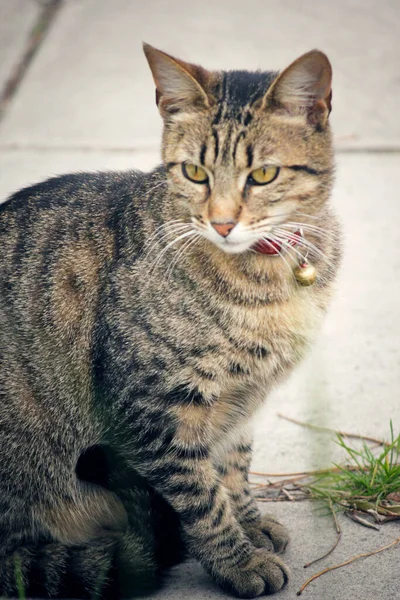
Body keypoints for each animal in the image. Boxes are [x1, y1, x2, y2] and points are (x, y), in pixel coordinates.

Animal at [0, 44, 342, 596]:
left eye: (263, 175)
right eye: (195, 172)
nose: (222, 223)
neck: (267, 275)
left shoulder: (238, 401)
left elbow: (233, 465)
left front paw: (250, 522)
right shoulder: (154, 408)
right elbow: (200, 498)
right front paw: (236, 561)